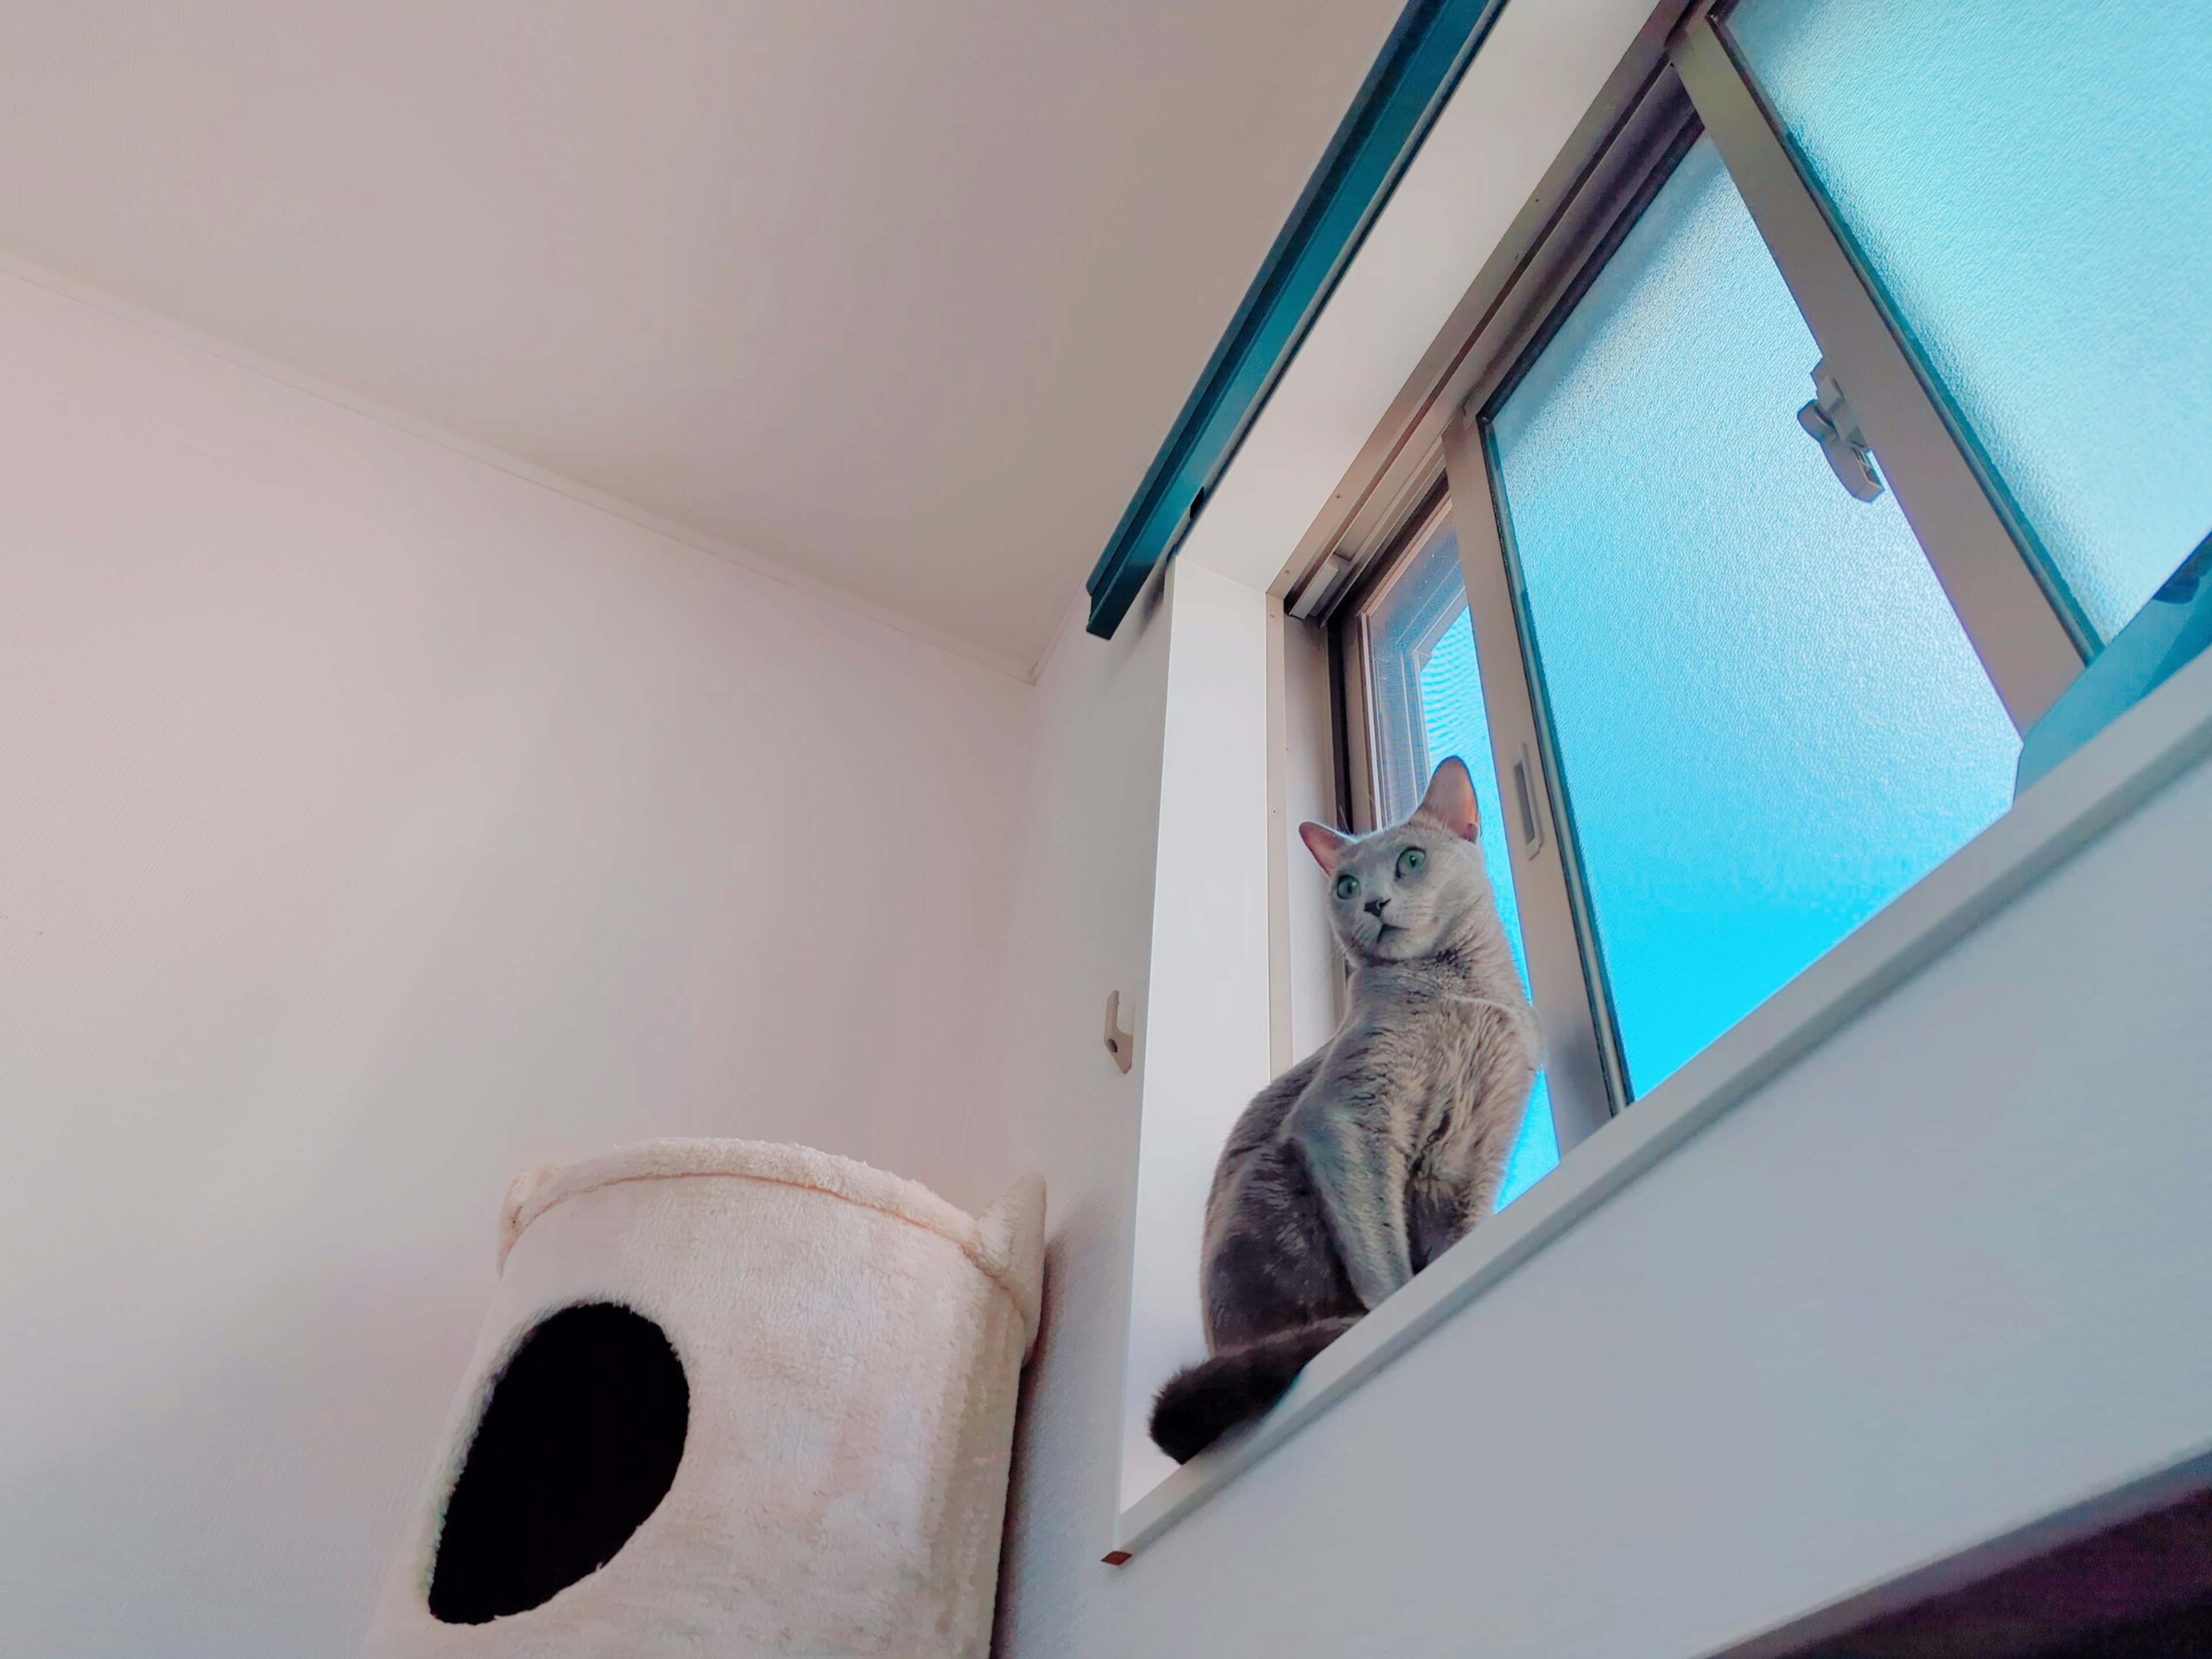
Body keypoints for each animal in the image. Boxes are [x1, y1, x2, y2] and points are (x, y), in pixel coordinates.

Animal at [1141, 760, 1539, 1460]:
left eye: (1411, 859)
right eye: (1347, 885)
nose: (1373, 901)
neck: (1461, 999)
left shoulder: (1482, 1146)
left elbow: (1461, 1230)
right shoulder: (1347, 1116)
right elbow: (1378, 1244)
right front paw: (1396, 1300)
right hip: (1275, 1191)